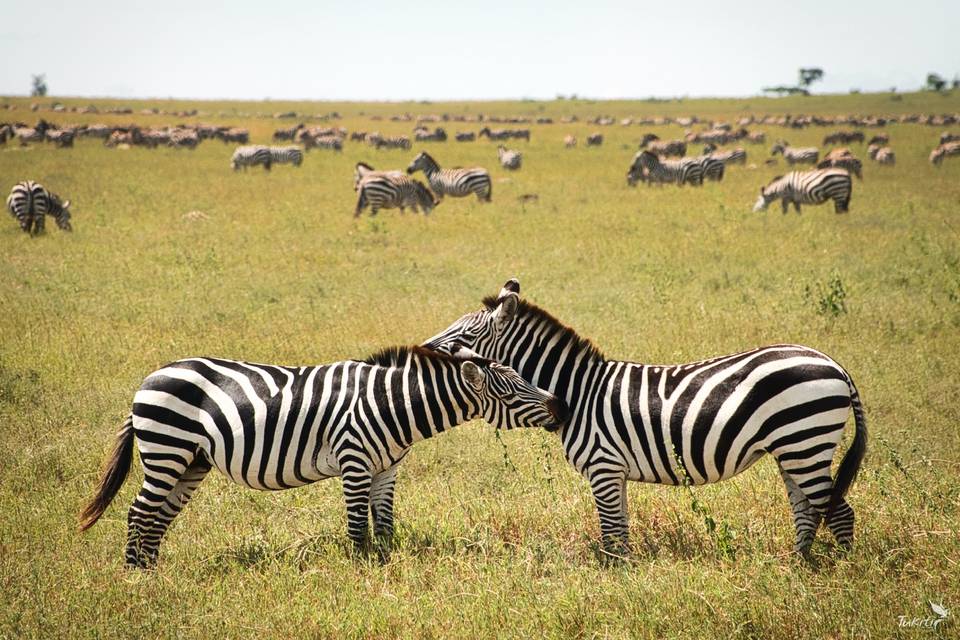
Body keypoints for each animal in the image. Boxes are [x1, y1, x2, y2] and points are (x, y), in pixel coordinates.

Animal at [79, 344, 568, 564]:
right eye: (512, 389)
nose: (561, 406)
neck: (393, 405)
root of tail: (148, 379)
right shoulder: (354, 462)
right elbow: (356, 526)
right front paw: (359, 572)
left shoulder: (387, 470)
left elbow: (385, 525)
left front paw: (386, 566)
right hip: (167, 448)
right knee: (140, 512)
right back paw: (135, 576)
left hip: (192, 460)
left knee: (159, 516)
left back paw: (152, 570)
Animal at [424, 278, 868, 556]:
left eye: (463, 337)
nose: (421, 351)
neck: (579, 390)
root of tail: (834, 364)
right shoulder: (614, 471)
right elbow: (619, 529)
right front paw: (624, 573)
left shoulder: (602, 465)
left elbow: (611, 532)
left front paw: (614, 579)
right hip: (793, 449)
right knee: (807, 512)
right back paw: (797, 567)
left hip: (805, 442)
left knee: (838, 513)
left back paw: (841, 574)